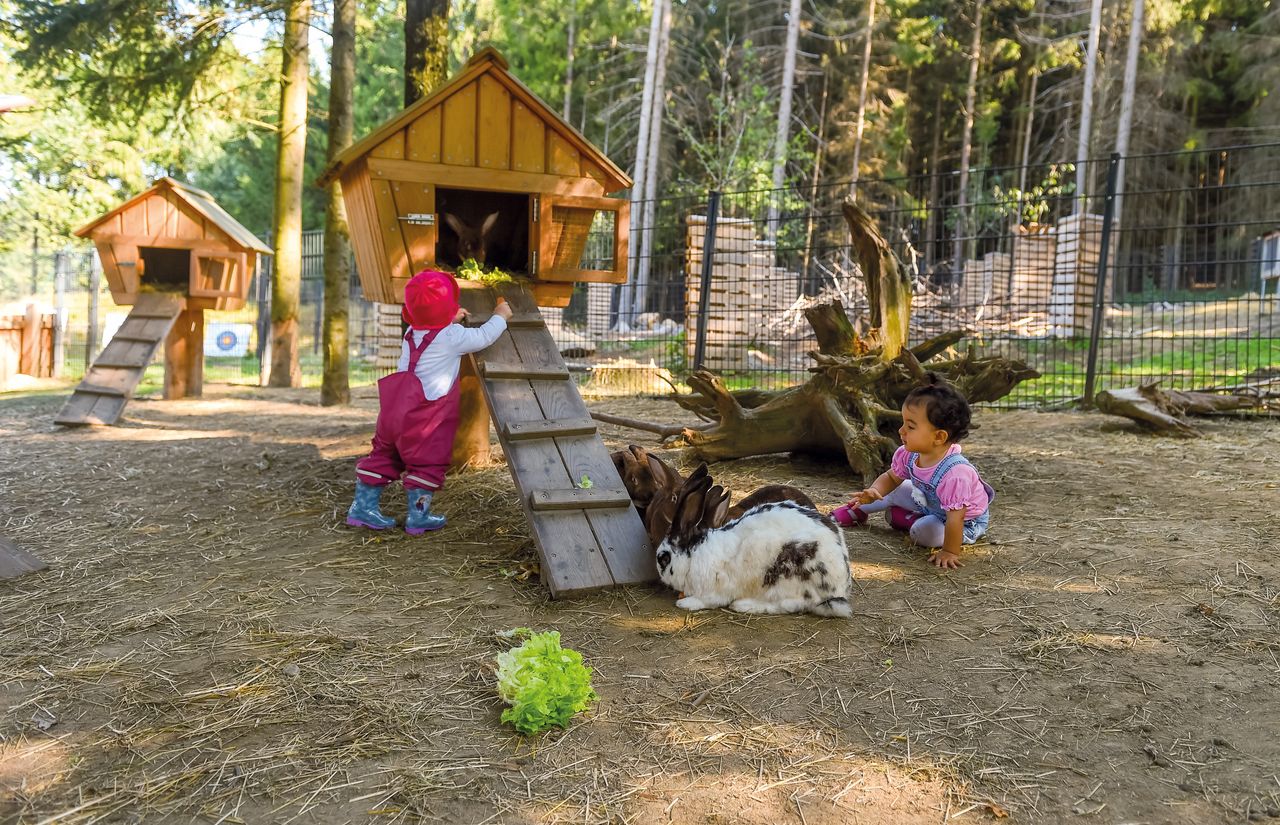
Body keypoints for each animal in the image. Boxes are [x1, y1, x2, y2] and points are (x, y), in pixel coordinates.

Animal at [655, 465, 855, 613]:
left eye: (664, 558)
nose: (661, 577)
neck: (695, 554)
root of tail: (841, 584)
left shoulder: (715, 590)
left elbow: (707, 600)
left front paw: (685, 603)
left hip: (788, 574)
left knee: (790, 604)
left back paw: (744, 605)